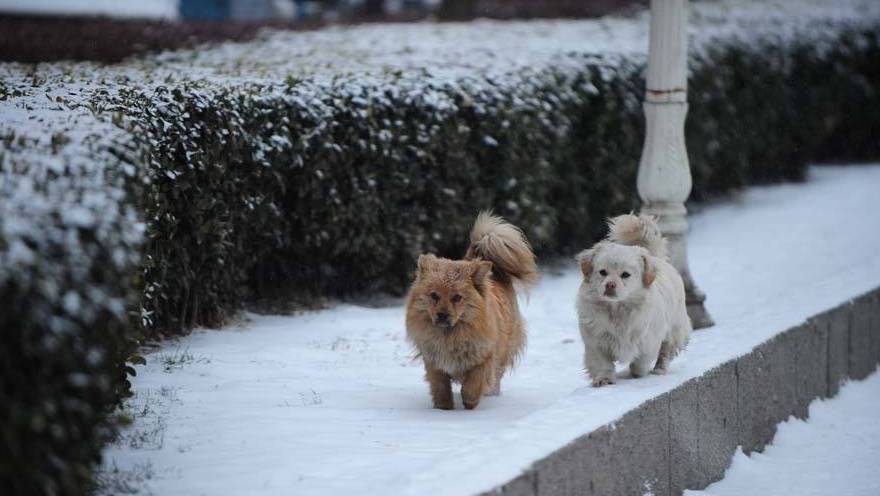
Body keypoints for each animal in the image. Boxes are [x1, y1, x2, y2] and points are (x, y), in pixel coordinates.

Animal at [406, 211, 536, 408]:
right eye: (434, 296)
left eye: (457, 298)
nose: (442, 315)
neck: (451, 335)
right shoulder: (434, 362)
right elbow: (440, 387)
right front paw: (443, 408)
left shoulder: (484, 358)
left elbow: (473, 384)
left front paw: (470, 401)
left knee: (496, 377)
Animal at [576, 214, 692, 388]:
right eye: (602, 272)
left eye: (625, 275)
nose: (610, 284)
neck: (617, 310)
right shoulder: (596, 343)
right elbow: (601, 364)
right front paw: (604, 380)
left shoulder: (648, 342)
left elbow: (640, 362)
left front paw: (637, 374)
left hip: (674, 330)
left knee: (666, 352)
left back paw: (659, 370)